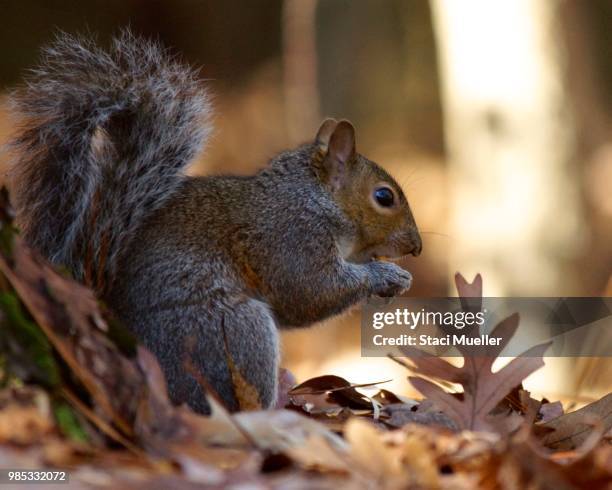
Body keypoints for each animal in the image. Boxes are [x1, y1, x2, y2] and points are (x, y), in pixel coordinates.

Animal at [8, 31, 420, 414]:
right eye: (384, 197)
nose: (416, 247)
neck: (314, 198)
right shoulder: (292, 235)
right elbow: (310, 291)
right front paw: (386, 276)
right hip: (232, 332)